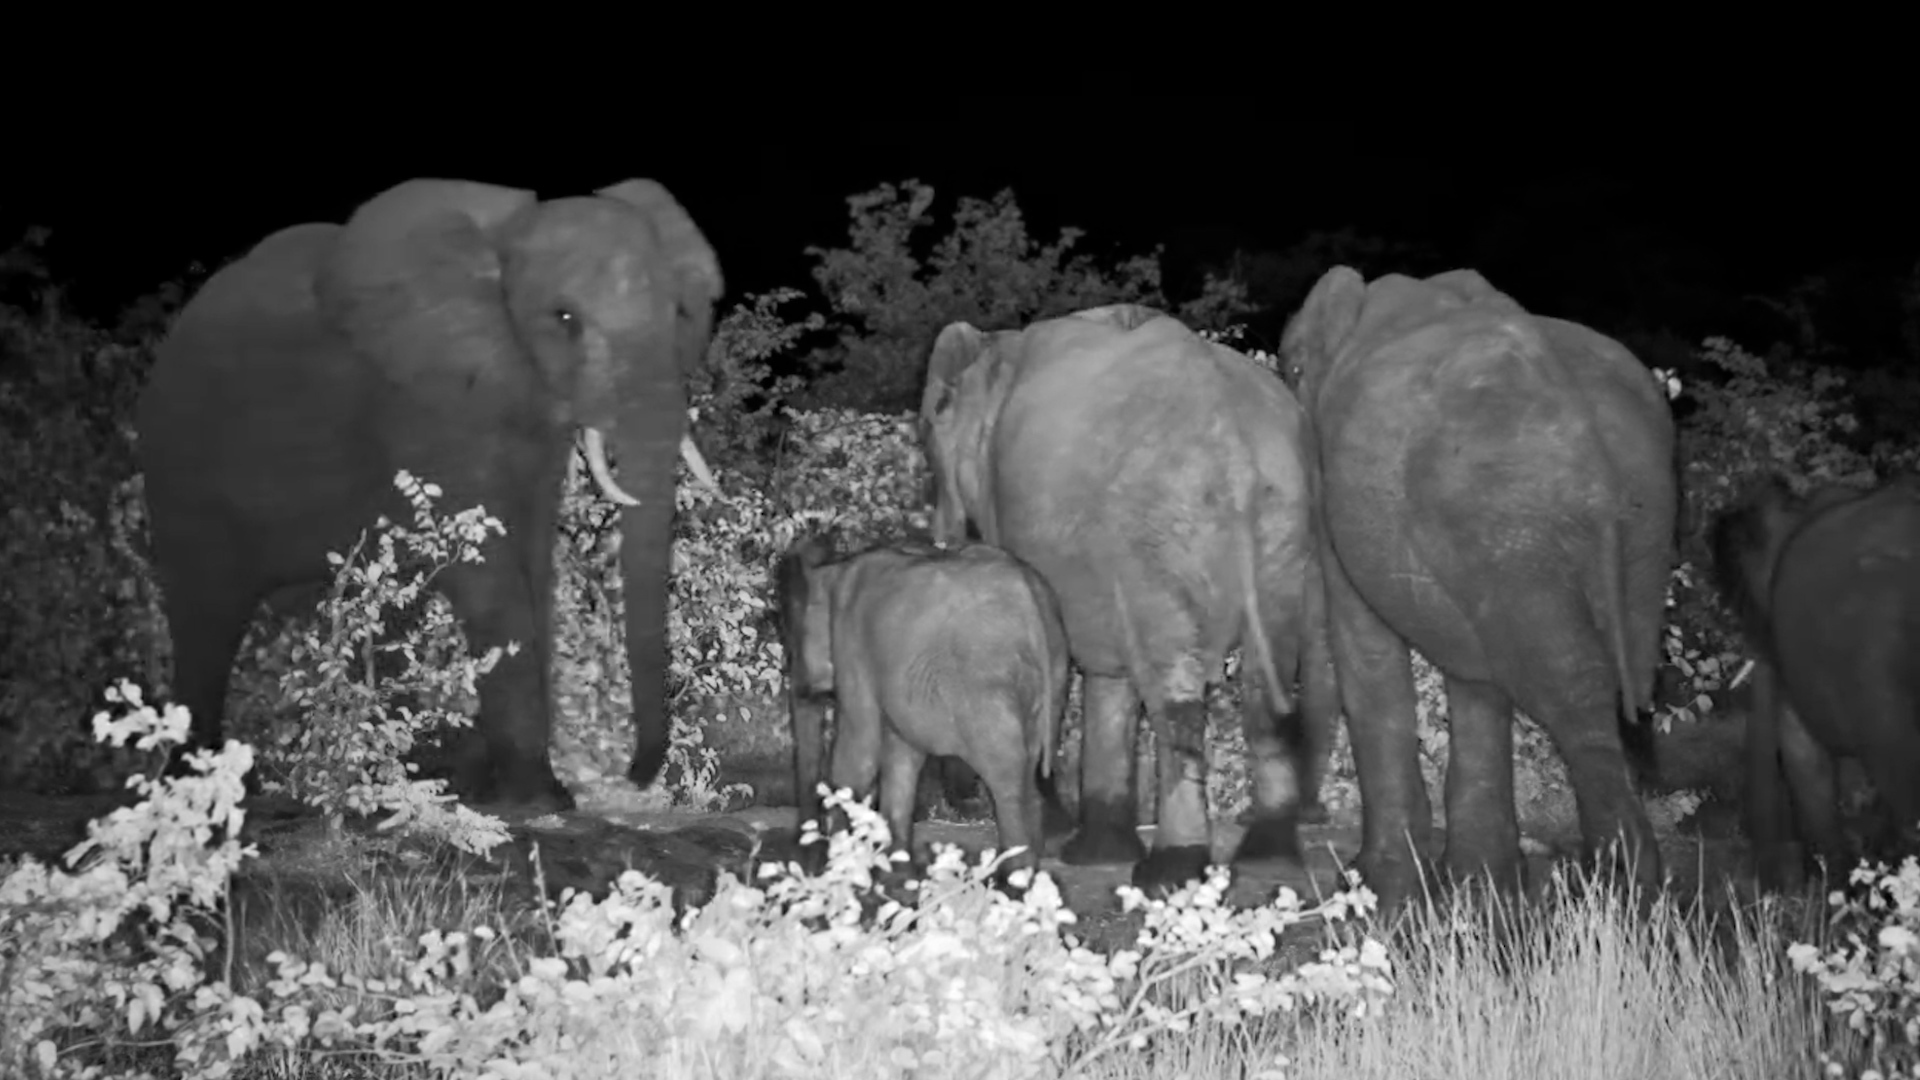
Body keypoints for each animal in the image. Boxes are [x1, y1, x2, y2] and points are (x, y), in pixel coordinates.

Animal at [135, 177, 723, 815]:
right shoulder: (427, 407)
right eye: (563, 318)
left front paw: (505, 792)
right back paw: (198, 785)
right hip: (180, 466)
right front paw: (542, 802)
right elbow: (491, 577)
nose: (633, 776)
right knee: (207, 619)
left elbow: (534, 562)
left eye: (680, 313)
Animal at [773, 529, 1072, 881]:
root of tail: (1033, 603)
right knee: (1029, 773)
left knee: (1006, 777)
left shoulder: (853, 649)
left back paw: (1013, 881)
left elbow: (859, 753)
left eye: (791, 647)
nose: (808, 863)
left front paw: (841, 872)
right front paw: (898, 876)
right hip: (1054, 675)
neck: (834, 568)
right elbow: (903, 755)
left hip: (987, 686)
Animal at [919, 303, 1339, 895]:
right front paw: (1093, 853)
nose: (962, 801)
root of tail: (1238, 445)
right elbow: (1108, 671)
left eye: (927, 436)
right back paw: (1269, 859)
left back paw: (1170, 871)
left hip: (1160, 527)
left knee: (1175, 696)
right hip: (1284, 526)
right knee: (1268, 682)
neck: (995, 344)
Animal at [1280, 267, 1676, 914]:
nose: (1310, 816)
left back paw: (1619, 892)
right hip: (1626, 529)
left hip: (1510, 515)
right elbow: (1474, 675)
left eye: (1291, 371)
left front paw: (1378, 889)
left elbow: (1368, 646)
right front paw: (1477, 885)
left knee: (1574, 686)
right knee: (1612, 679)